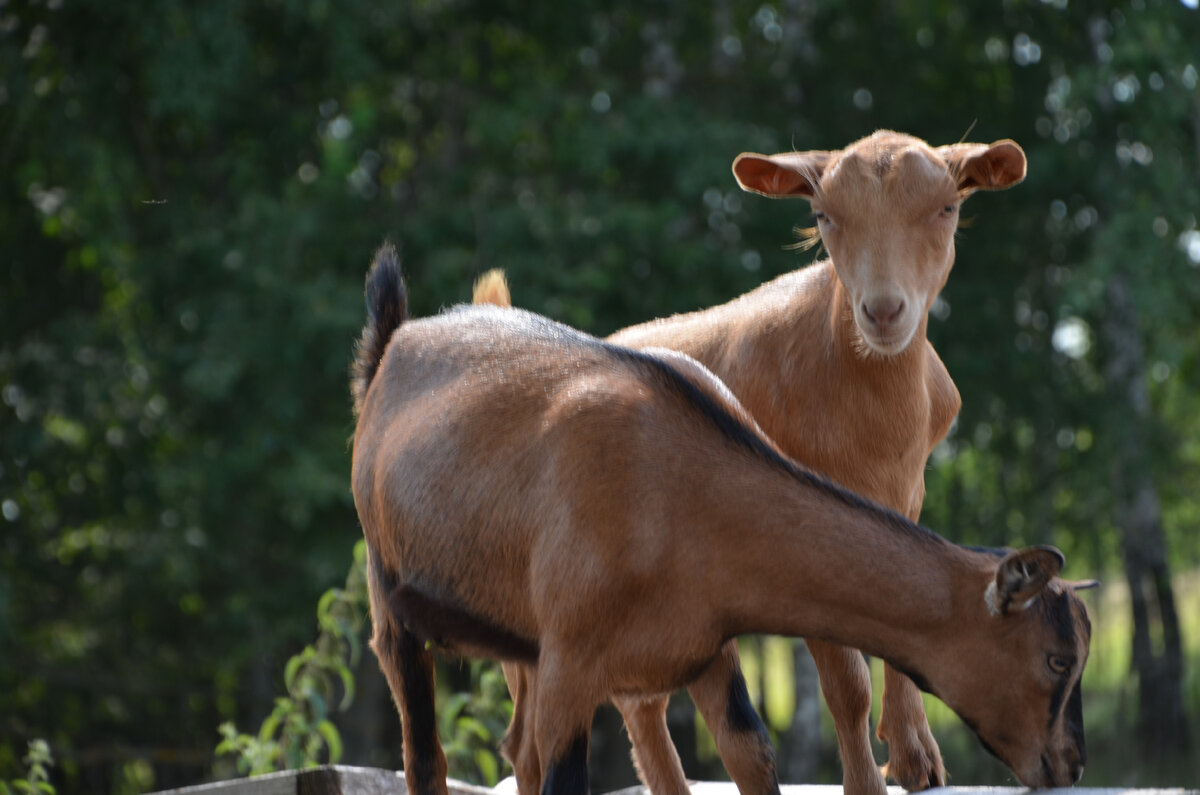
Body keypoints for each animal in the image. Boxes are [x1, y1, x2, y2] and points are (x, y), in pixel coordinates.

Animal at [350, 246, 1099, 795]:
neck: (686, 488)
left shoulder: (705, 647)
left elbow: (752, 755)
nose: (1069, 765)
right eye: (1058, 657)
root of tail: (391, 345)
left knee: (516, 752)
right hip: (392, 598)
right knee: (425, 754)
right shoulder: (570, 660)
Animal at [482, 130, 1027, 795]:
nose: (883, 311)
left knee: (639, 702)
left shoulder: (906, 498)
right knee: (531, 735)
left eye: (946, 208)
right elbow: (847, 685)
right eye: (824, 216)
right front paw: (869, 780)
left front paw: (916, 758)